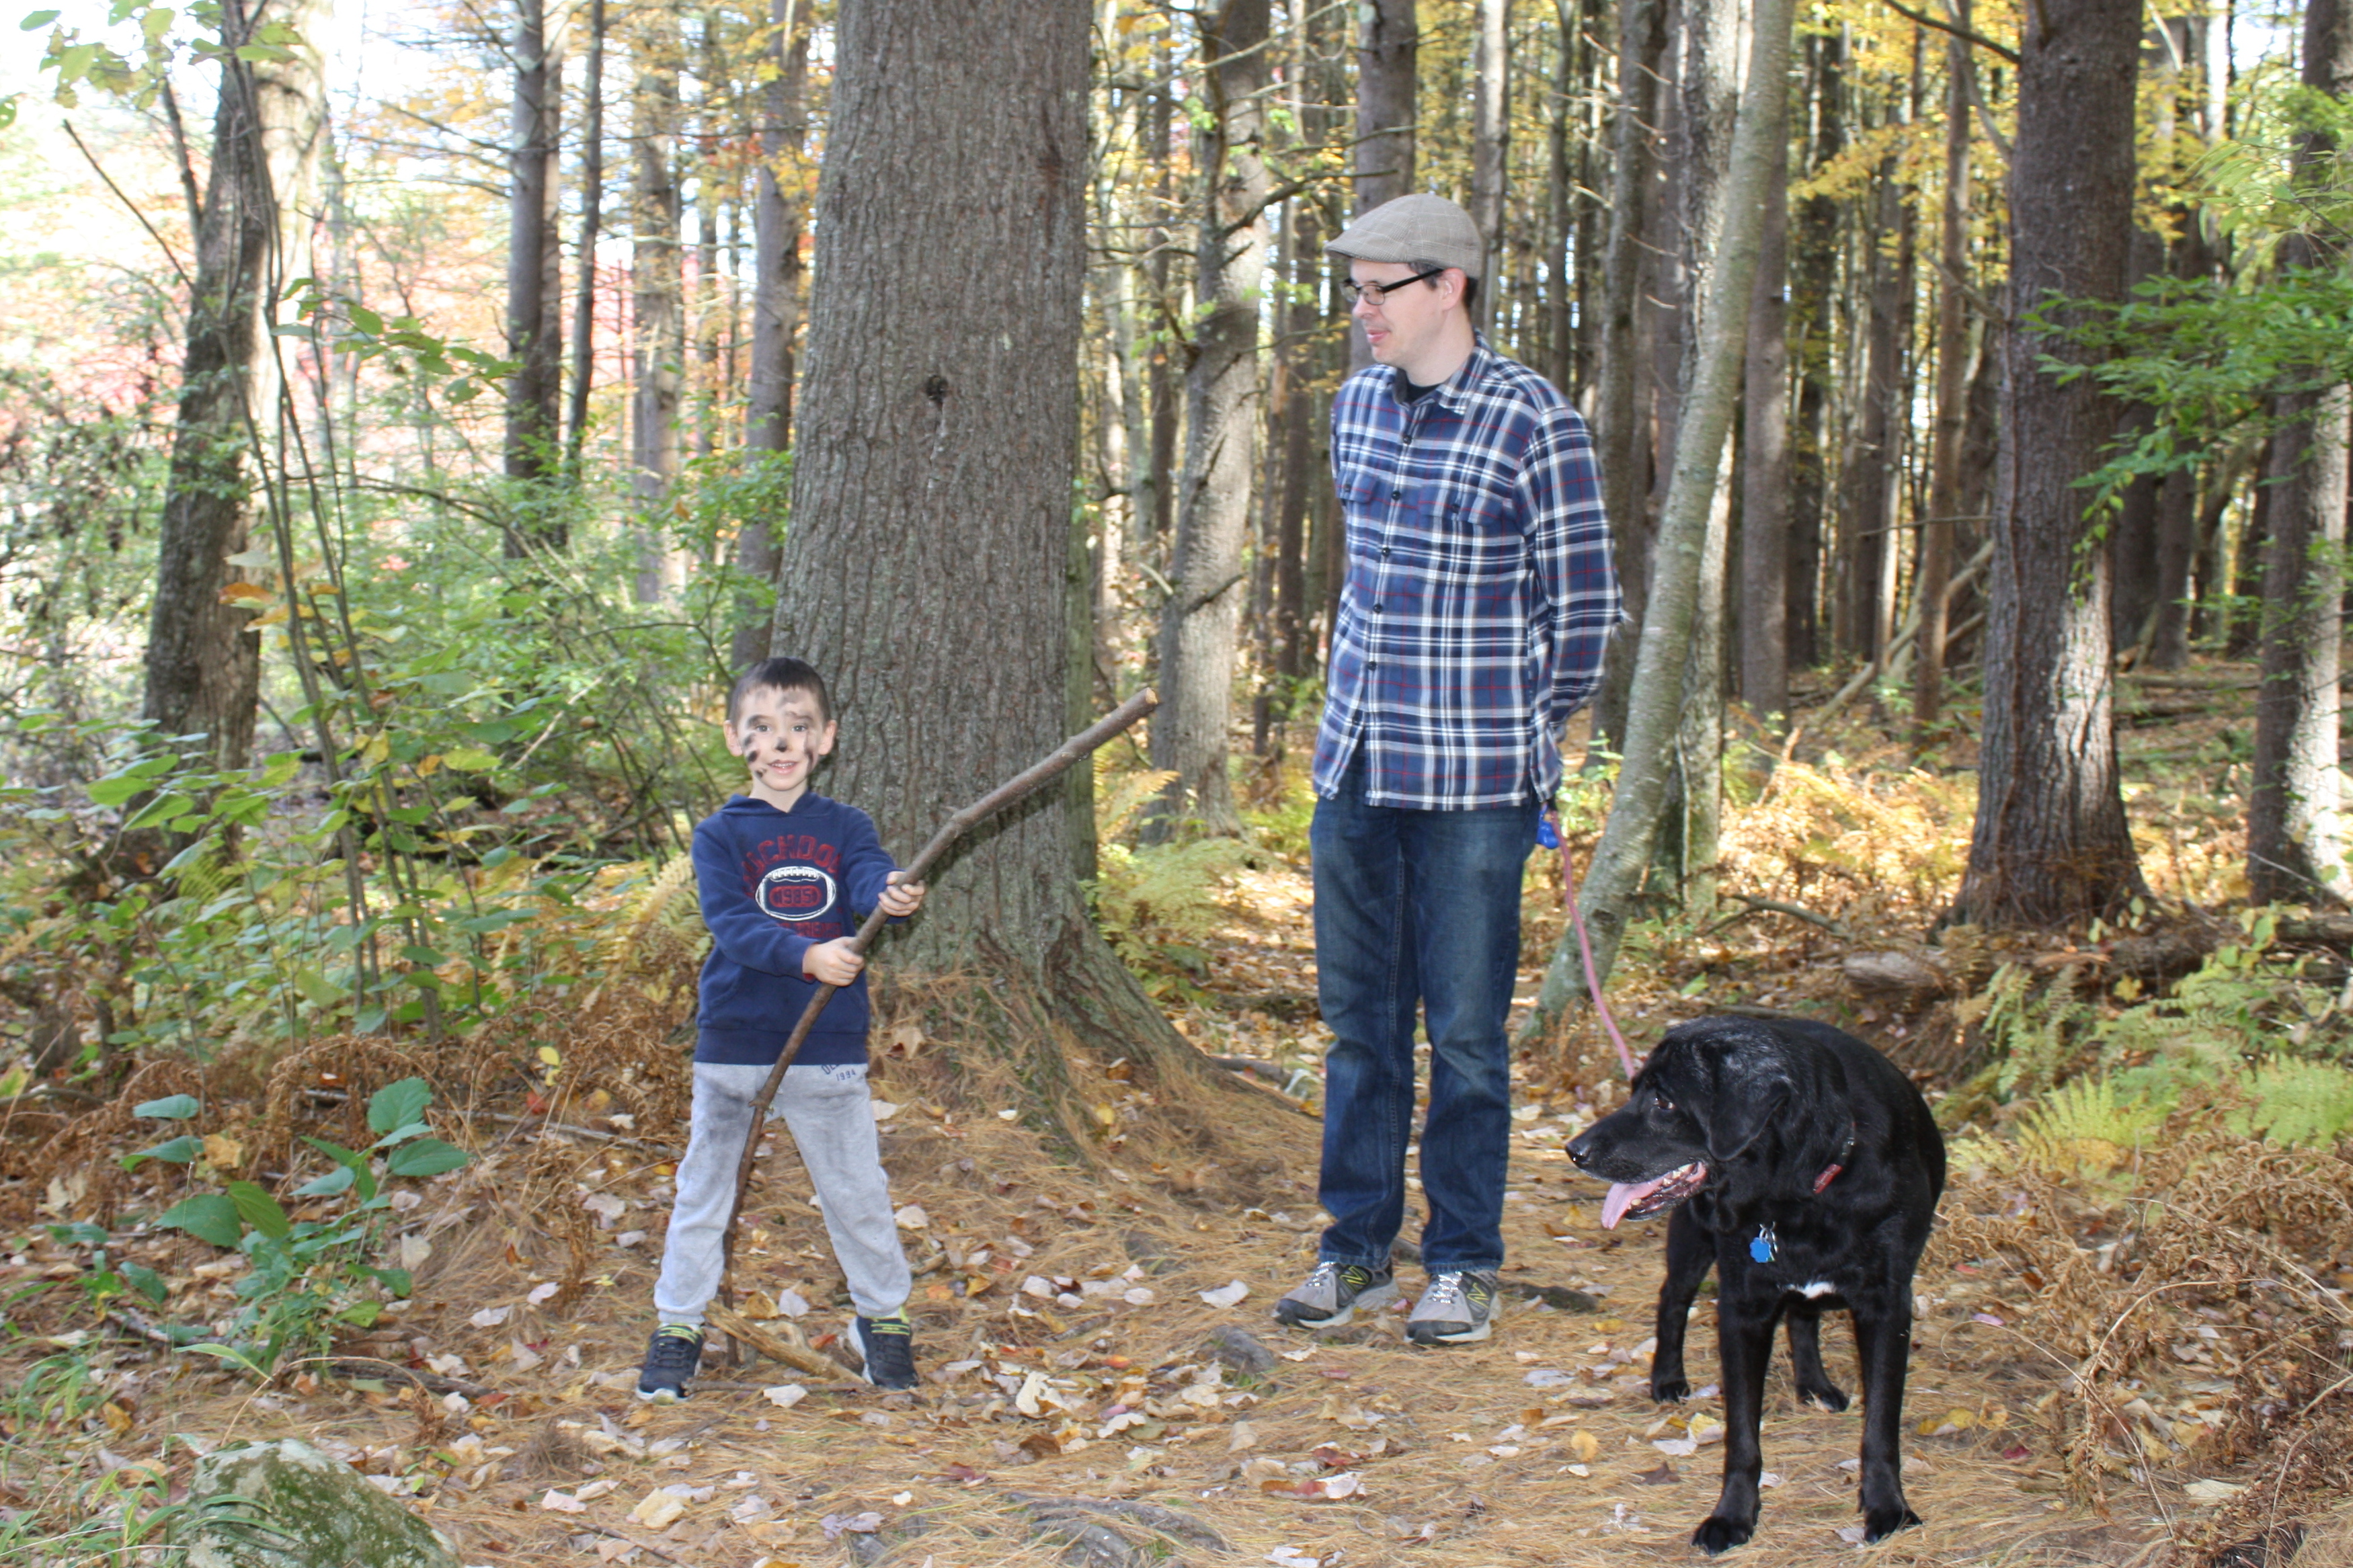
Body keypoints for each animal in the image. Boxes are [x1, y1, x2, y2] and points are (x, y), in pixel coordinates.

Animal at [1565, 1015, 1945, 1553]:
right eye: (1635, 1089)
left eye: (1663, 1101)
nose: (1573, 1150)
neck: (1802, 1191)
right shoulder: (1742, 1307)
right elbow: (1742, 1435)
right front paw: (1733, 1516)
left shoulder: (1888, 1305)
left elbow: (1881, 1425)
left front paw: (1887, 1507)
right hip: (1693, 1236)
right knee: (1672, 1300)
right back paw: (1667, 1378)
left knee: (1802, 1314)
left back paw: (1814, 1385)